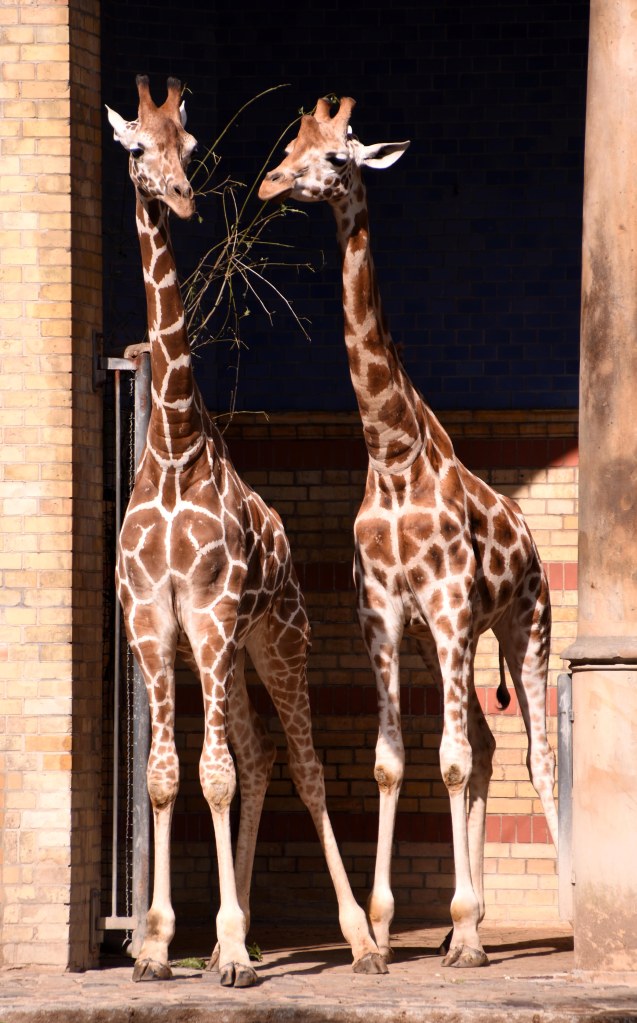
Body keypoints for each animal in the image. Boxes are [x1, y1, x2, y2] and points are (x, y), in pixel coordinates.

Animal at [106, 77, 387, 986]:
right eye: (137, 148)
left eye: (191, 148)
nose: (180, 199)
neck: (170, 446)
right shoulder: (154, 621)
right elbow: (167, 775)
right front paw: (157, 945)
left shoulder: (213, 612)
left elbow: (214, 776)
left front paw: (224, 950)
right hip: (230, 653)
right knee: (260, 755)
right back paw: (248, 929)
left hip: (275, 639)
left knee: (300, 762)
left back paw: (358, 939)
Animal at [259, 97, 559, 969]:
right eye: (290, 145)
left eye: (336, 156)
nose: (269, 185)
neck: (391, 454)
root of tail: (532, 542)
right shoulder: (385, 615)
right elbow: (393, 762)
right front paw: (388, 928)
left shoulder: (453, 606)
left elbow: (449, 761)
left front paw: (453, 928)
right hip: (443, 640)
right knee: (489, 748)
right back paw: (474, 924)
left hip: (522, 625)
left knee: (534, 754)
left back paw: (560, 913)